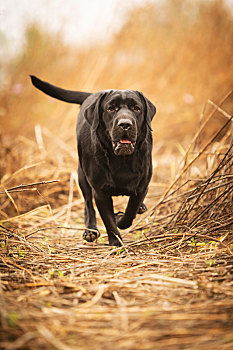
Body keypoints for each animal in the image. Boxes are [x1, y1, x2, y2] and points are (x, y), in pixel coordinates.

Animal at [30, 76, 156, 246]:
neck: (122, 160)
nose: (125, 124)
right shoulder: (100, 192)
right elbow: (108, 221)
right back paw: (90, 231)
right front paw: (115, 242)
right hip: (82, 176)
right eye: (111, 108)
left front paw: (121, 217)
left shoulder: (142, 187)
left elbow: (129, 214)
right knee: (88, 205)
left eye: (136, 108)